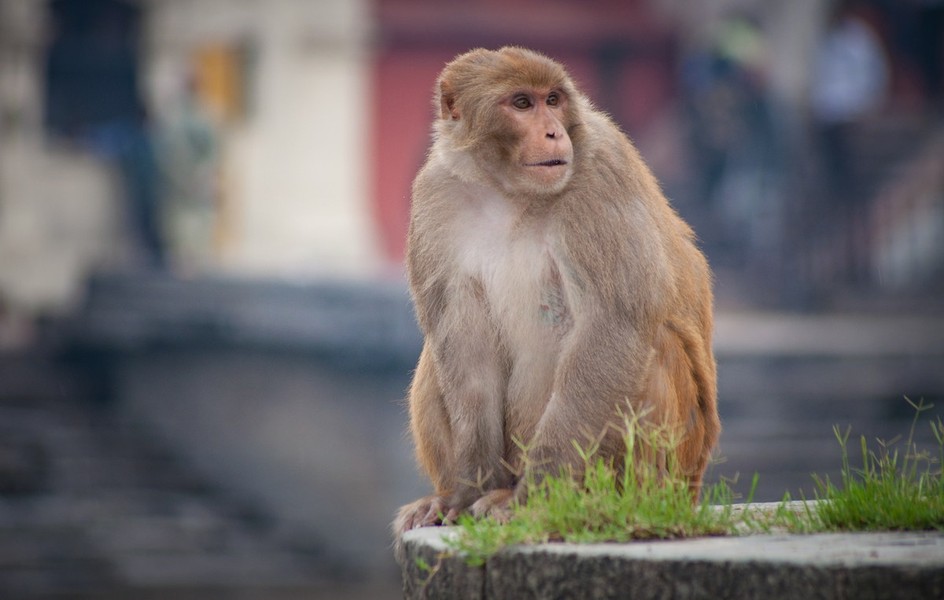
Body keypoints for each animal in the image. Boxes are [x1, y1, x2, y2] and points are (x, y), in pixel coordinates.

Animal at [394, 47, 720, 536]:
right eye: (522, 103)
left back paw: (598, 503)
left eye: (553, 99)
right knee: (439, 355)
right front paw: (465, 492)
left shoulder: (604, 171)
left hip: (675, 469)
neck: (509, 190)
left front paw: (534, 500)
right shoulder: (437, 193)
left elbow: (611, 326)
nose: (553, 132)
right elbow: (465, 349)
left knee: (655, 345)